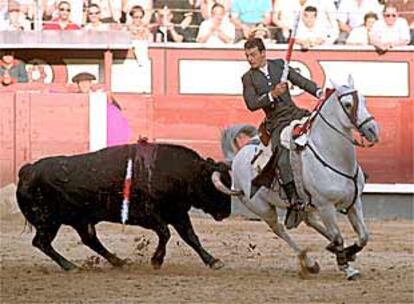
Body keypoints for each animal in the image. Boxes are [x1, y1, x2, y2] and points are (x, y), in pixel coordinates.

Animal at [16, 140, 233, 270]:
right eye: (215, 188)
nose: (226, 212)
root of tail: (27, 170)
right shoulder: (146, 215)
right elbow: (165, 233)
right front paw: (156, 261)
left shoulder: (177, 213)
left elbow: (191, 237)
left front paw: (213, 261)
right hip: (48, 220)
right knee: (41, 242)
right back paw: (71, 266)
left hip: (79, 220)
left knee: (89, 240)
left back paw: (118, 262)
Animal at [215, 76, 380, 280]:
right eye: (348, 104)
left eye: (364, 100)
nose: (373, 129)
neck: (334, 156)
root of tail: (236, 157)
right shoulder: (326, 206)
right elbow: (338, 236)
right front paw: (347, 268)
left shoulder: (354, 201)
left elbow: (364, 236)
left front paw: (349, 253)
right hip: (262, 208)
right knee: (280, 229)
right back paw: (309, 262)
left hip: (304, 204)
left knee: (310, 221)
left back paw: (332, 250)